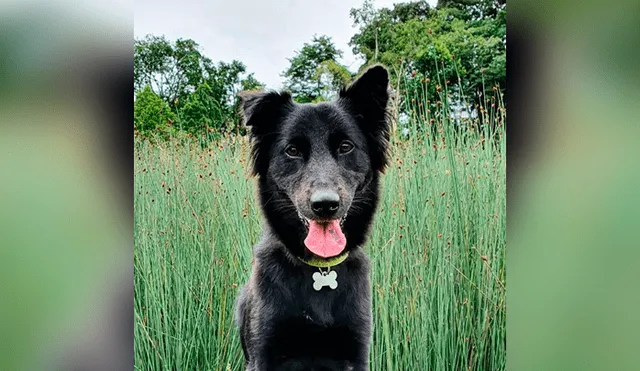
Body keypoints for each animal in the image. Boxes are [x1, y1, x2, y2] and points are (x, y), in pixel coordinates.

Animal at [235, 65, 390, 370]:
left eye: (345, 147)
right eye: (292, 150)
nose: (325, 204)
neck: (321, 270)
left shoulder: (356, 351)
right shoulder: (263, 353)